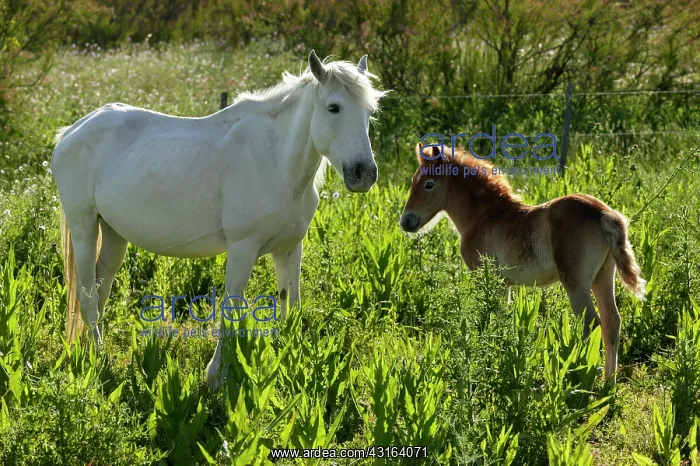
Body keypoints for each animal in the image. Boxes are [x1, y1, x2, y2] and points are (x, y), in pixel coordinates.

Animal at [52, 50, 388, 390]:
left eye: (370, 111)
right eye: (334, 107)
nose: (363, 174)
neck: (275, 160)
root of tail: (72, 131)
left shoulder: (290, 248)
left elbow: (289, 307)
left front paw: (287, 365)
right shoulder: (242, 249)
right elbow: (232, 309)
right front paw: (217, 377)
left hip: (113, 233)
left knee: (100, 288)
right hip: (83, 226)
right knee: (86, 294)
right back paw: (97, 358)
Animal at [399, 143, 646, 386]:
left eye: (429, 184)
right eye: (413, 180)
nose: (406, 221)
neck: (483, 216)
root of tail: (604, 213)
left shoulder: (487, 278)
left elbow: (490, 317)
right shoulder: (504, 284)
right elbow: (502, 317)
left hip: (575, 282)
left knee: (590, 323)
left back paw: (579, 377)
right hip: (602, 277)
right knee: (612, 321)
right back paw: (608, 385)